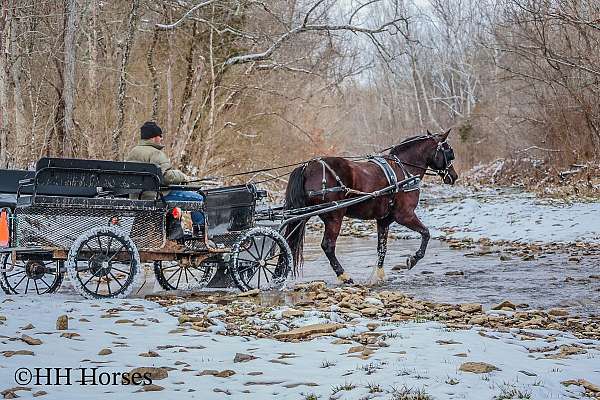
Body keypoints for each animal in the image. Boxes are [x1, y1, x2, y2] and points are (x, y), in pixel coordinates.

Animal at [284, 130, 458, 282]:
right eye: (449, 152)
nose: (454, 176)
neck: (403, 170)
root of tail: (307, 167)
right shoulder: (405, 215)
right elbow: (426, 233)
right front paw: (413, 259)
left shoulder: (384, 220)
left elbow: (382, 248)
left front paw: (379, 275)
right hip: (334, 217)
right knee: (328, 246)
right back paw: (344, 276)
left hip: (303, 215)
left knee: (289, 242)